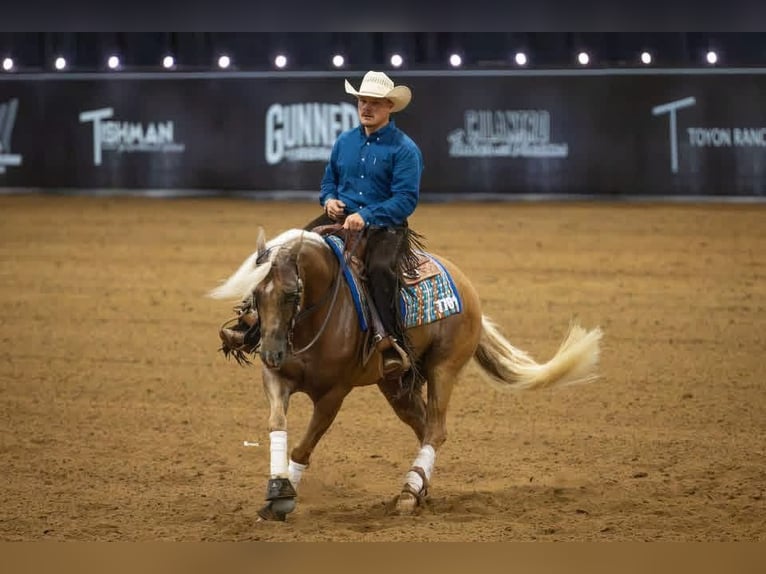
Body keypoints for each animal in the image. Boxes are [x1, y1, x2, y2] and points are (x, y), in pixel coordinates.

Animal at [208, 226, 603, 521]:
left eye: (292, 294)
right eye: (256, 294)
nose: (272, 352)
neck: (313, 320)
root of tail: (464, 284)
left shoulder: (334, 393)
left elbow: (305, 446)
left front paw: (286, 495)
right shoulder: (277, 379)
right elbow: (277, 423)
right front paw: (276, 489)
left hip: (443, 369)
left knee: (436, 429)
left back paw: (409, 494)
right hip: (395, 384)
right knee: (424, 425)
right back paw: (420, 487)